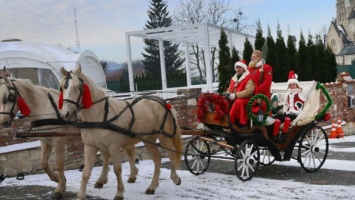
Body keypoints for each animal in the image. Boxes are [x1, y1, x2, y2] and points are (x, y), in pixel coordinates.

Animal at [0, 76, 138, 198]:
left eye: (9, 97)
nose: (3, 122)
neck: (44, 106)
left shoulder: (59, 140)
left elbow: (60, 164)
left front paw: (60, 189)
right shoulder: (46, 141)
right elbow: (44, 163)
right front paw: (57, 179)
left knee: (128, 152)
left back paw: (132, 175)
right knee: (106, 156)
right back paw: (101, 180)